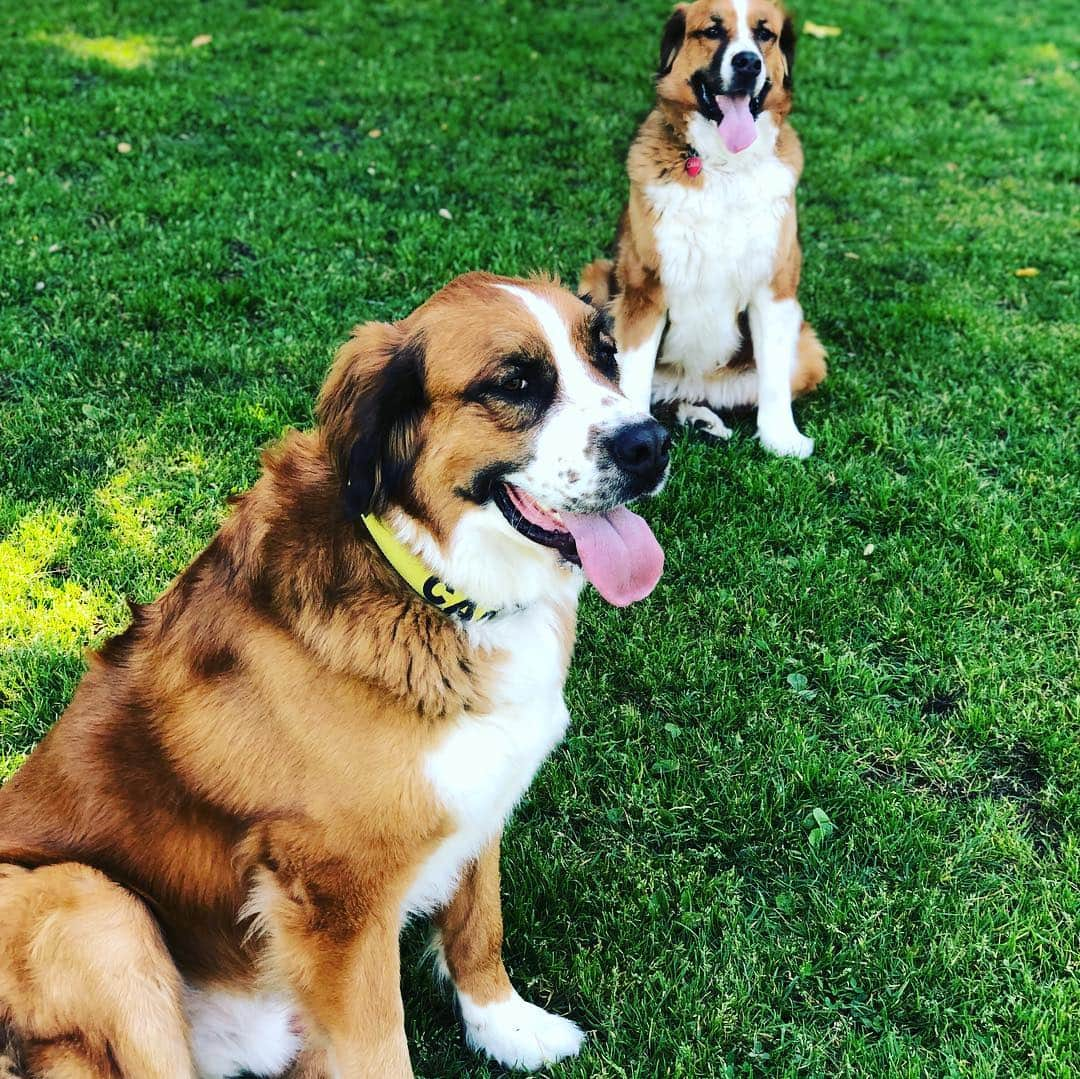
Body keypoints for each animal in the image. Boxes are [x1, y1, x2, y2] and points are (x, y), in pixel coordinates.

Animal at [0, 272, 669, 1079]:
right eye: (515, 383)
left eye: (606, 356)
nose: (652, 445)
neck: (431, 584)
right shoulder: (337, 897)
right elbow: (381, 1046)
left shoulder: (479, 794)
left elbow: (480, 924)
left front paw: (506, 1026)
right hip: (96, 902)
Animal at [583, 0, 825, 460]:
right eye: (712, 31)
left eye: (764, 34)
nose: (747, 62)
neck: (723, 166)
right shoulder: (645, 290)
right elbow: (633, 377)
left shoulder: (776, 290)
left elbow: (773, 380)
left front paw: (781, 439)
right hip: (597, 280)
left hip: (808, 350)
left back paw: (703, 418)